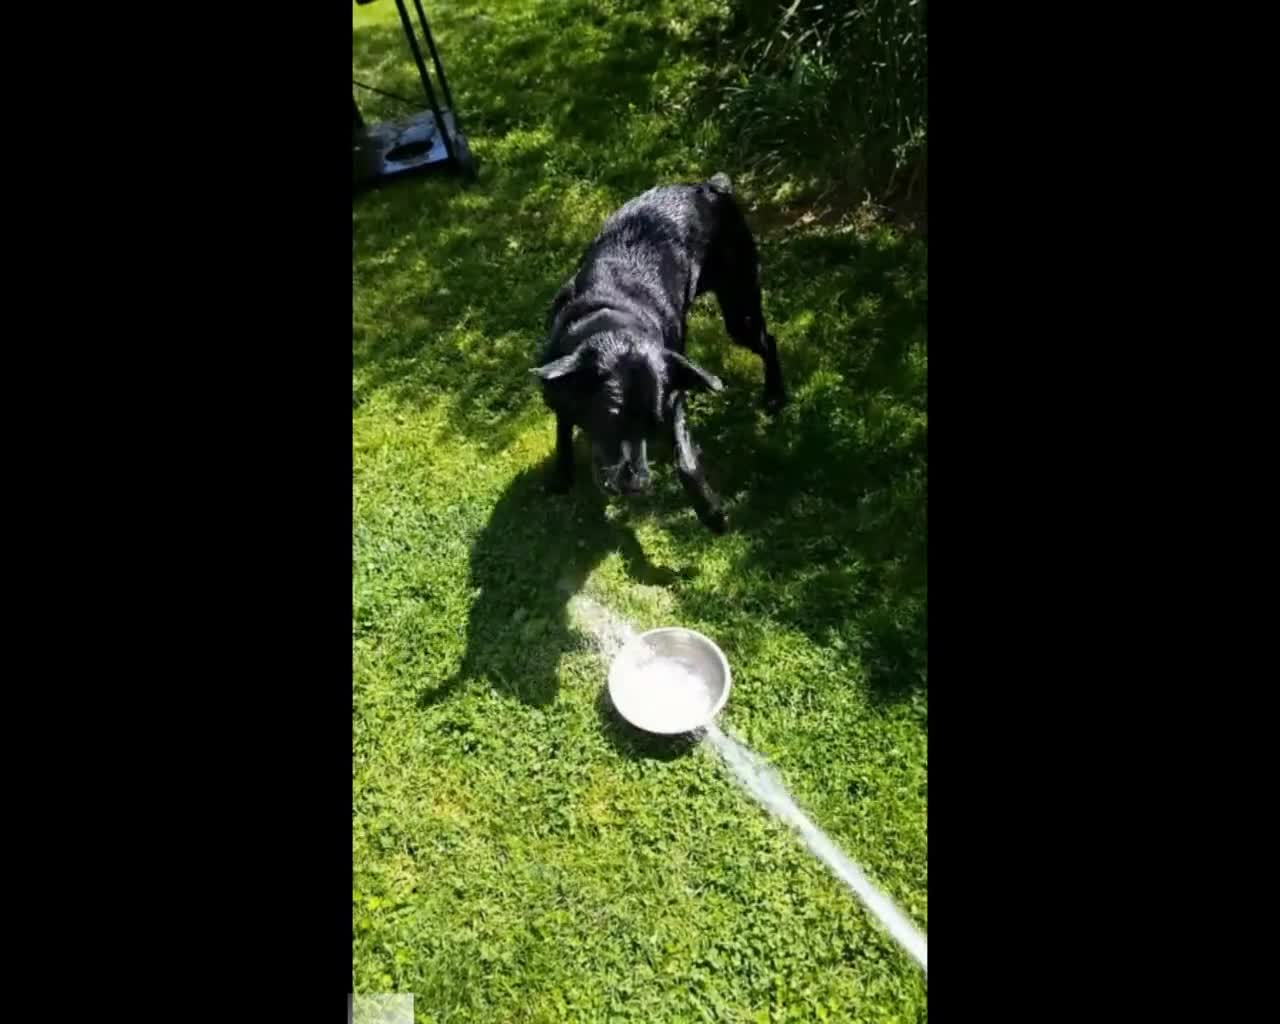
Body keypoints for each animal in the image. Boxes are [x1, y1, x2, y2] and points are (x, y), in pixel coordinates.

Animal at [527, 172, 778, 532]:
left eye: (653, 423)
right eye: (611, 416)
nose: (637, 485)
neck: (611, 319)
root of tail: (707, 187)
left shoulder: (672, 396)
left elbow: (685, 460)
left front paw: (711, 511)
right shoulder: (557, 389)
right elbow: (563, 428)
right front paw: (562, 477)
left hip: (739, 308)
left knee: (768, 340)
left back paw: (774, 395)